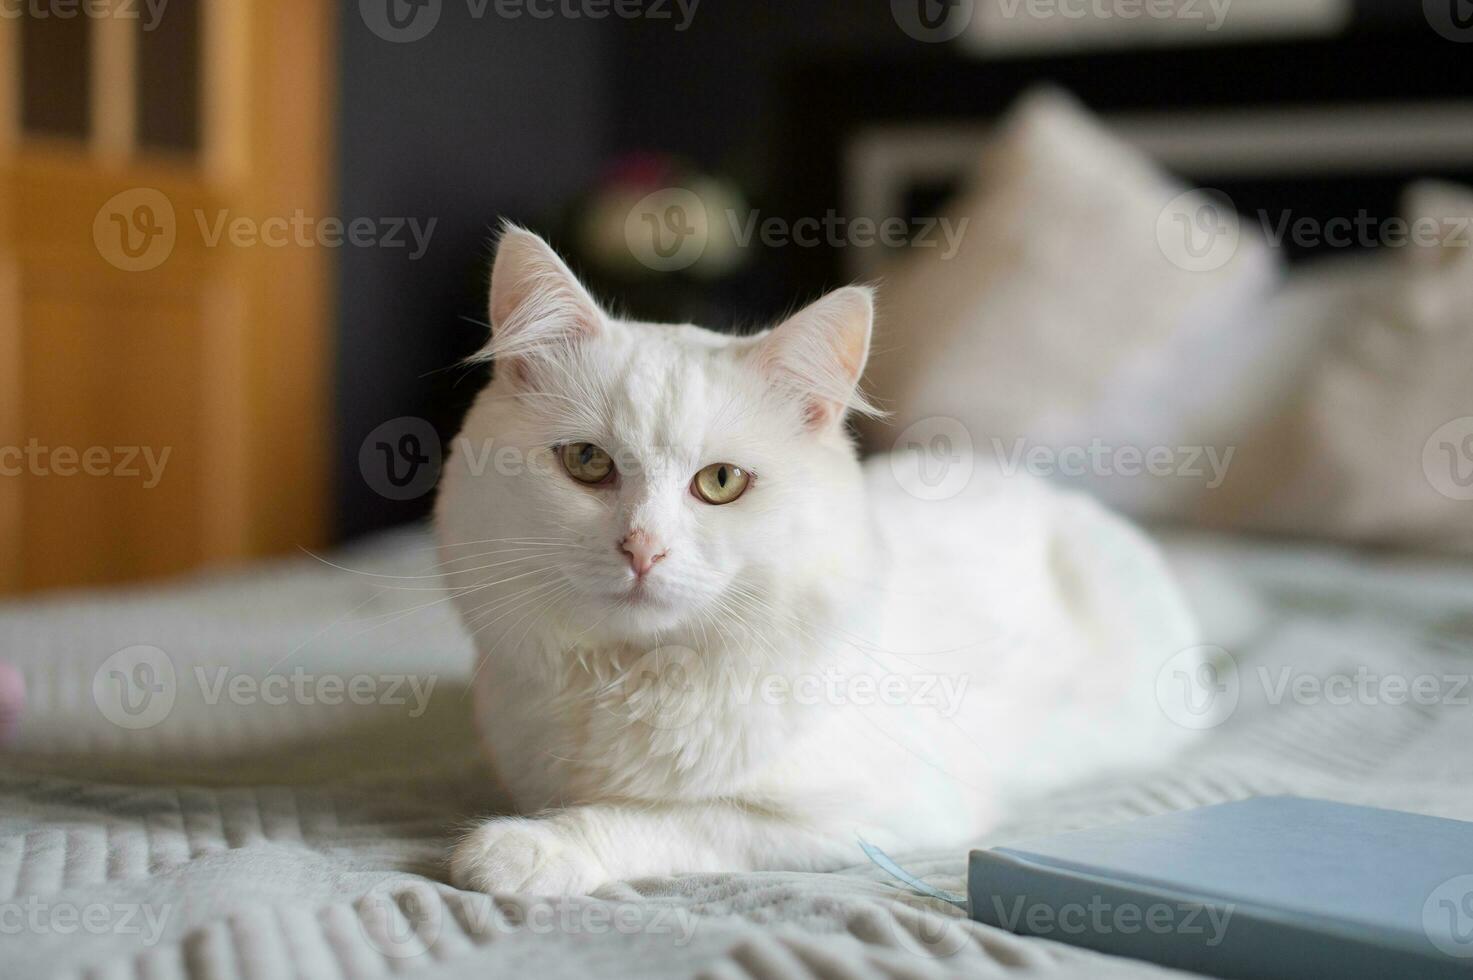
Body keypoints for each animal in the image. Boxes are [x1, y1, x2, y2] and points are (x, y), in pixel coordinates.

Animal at [433, 226, 1196, 896]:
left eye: (720, 482)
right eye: (587, 462)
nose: (642, 548)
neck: (631, 677)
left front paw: (522, 850)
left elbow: (661, 819)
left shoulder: (858, 822)